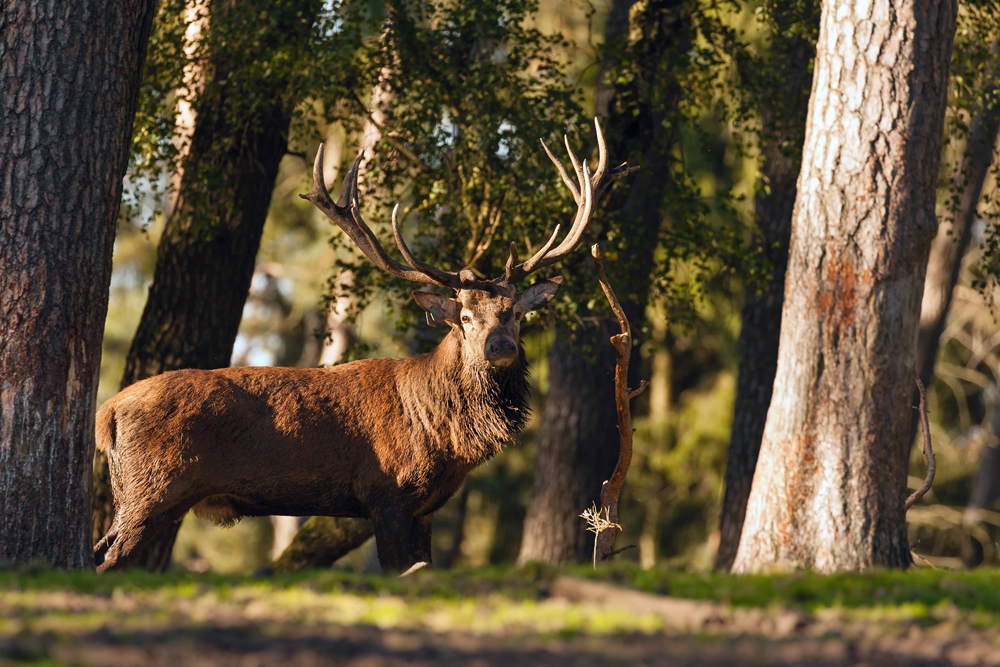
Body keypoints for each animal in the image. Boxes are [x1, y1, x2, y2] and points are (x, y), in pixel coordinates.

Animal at [94, 120, 632, 576]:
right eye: (463, 317)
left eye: (517, 312)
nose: (498, 347)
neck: (445, 435)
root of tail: (108, 412)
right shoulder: (386, 493)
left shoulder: (426, 508)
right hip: (153, 490)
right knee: (107, 560)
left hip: (139, 495)